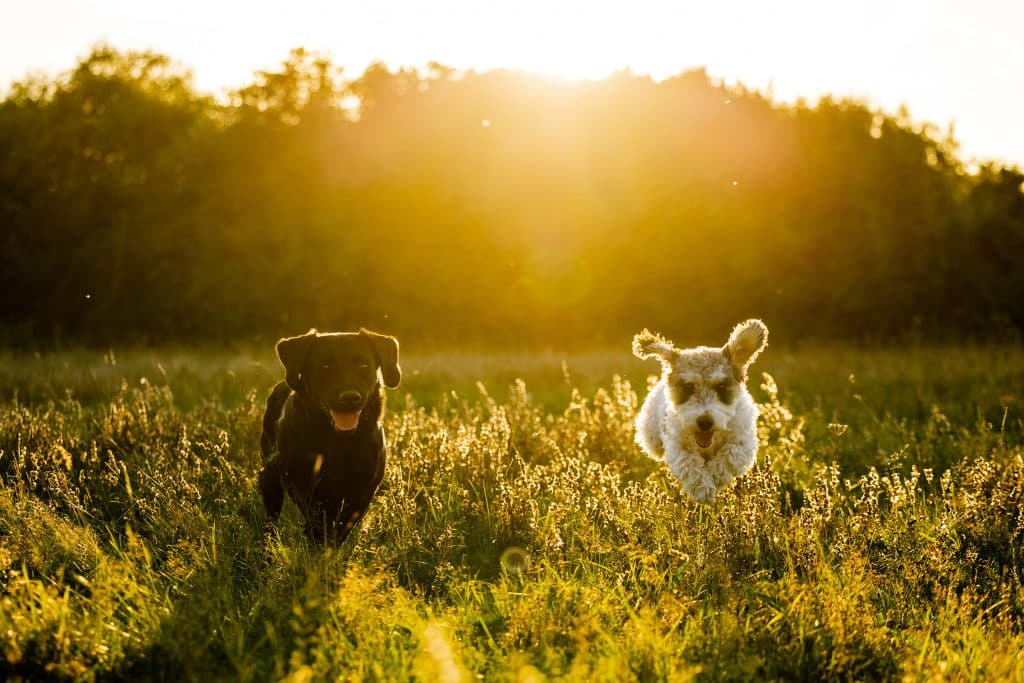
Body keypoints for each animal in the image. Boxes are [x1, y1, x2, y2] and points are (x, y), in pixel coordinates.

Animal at [260, 327, 399, 540]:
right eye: (325, 366)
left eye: (364, 365)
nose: (350, 397)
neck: (338, 440)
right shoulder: (301, 482)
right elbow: (318, 515)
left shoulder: (363, 489)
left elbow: (343, 523)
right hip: (270, 477)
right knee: (271, 518)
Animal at [630, 321, 770, 501]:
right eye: (688, 387)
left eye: (721, 387)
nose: (705, 422)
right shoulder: (676, 446)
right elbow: (688, 462)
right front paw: (702, 489)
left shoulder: (743, 442)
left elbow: (729, 454)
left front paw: (714, 476)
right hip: (652, 437)